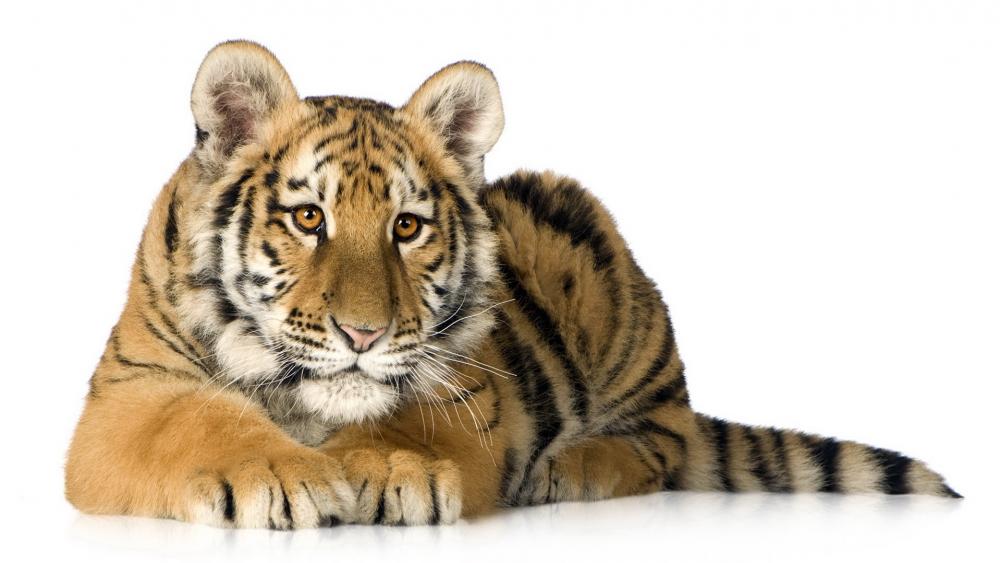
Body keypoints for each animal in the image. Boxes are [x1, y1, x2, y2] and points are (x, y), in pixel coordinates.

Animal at [65, 40, 960, 529]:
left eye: (407, 227)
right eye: (309, 218)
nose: (363, 335)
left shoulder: (471, 387)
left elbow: (410, 420)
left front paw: (386, 468)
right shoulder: (127, 395)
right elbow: (197, 420)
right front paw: (283, 474)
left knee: (665, 440)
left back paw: (573, 466)